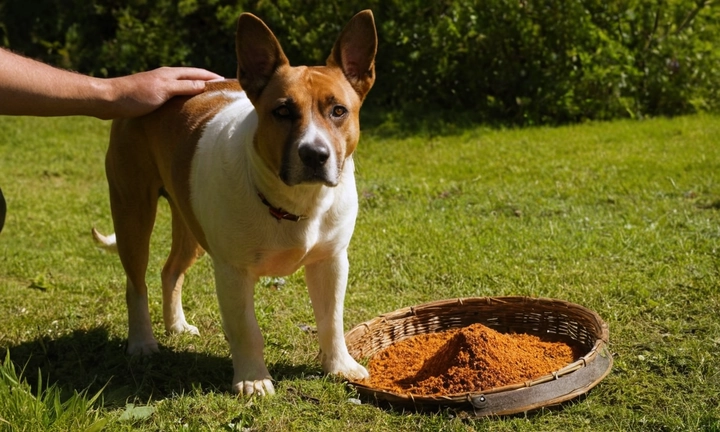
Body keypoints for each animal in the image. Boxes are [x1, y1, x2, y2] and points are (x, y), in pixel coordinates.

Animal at [91, 10, 376, 396]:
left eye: (339, 111)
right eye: (282, 111)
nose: (315, 154)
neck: (296, 202)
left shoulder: (331, 262)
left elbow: (332, 319)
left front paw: (339, 366)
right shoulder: (233, 272)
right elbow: (246, 329)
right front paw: (253, 379)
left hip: (189, 223)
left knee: (170, 270)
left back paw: (176, 325)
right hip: (133, 213)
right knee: (136, 282)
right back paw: (142, 342)